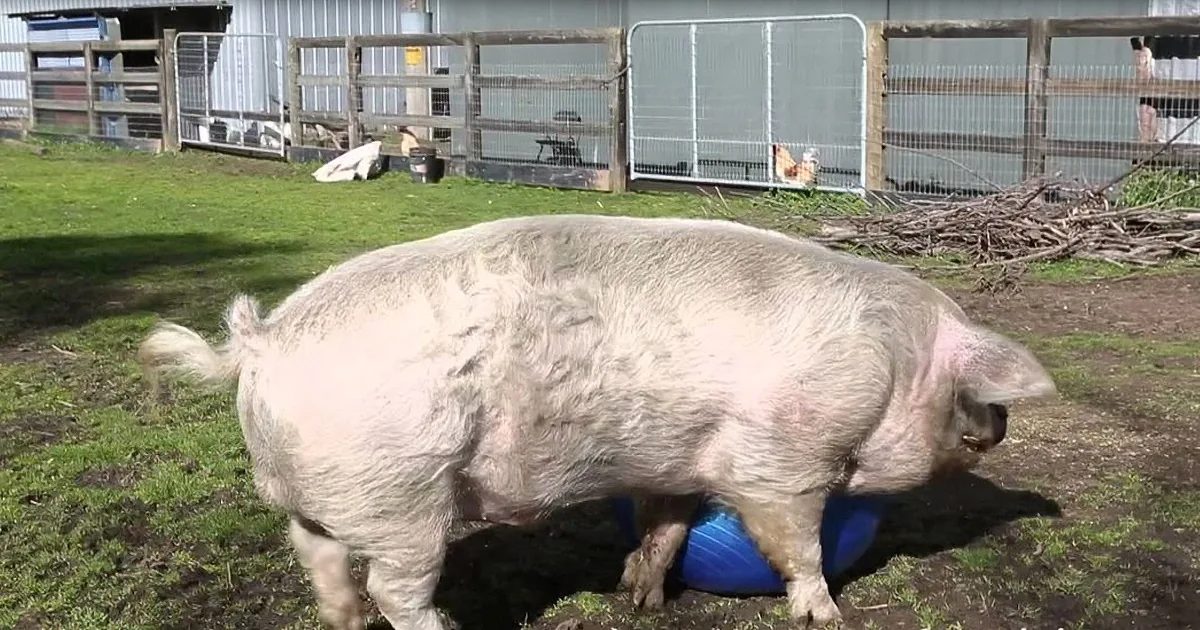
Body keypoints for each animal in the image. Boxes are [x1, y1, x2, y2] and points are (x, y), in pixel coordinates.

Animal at [137, 214, 1055, 630]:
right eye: (967, 391)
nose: (1002, 421)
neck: (892, 360)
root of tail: (261, 344)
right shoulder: (779, 463)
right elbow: (795, 544)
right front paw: (827, 616)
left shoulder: (676, 462)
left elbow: (667, 526)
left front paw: (640, 599)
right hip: (401, 498)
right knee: (397, 589)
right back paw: (447, 627)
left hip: (319, 500)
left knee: (324, 568)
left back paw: (349, 621)